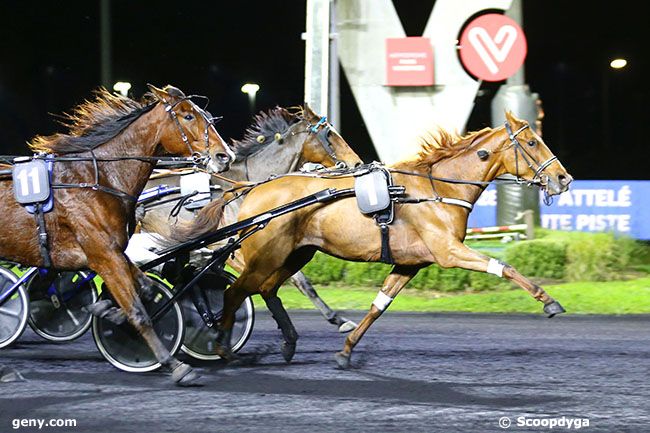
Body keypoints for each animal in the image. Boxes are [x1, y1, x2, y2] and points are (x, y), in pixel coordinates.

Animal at [0, 83, 232, 382]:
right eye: (188, 116)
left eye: (206, 115)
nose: (224, 156)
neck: (99, 179)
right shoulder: (104, 255)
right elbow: (138, 310)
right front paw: (175, 365)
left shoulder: (114, 253)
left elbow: (145, 288)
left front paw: (107, 309)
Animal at [184, 110, 572, 364]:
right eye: (532, 141)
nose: (564, 178)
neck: (437, 189)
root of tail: (251, 189)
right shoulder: (448, 251)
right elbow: (503, 266)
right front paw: (549, 301)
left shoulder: (410, 263)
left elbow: (378, 306)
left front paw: (346, 351)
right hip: (265, 254)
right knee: (235, 291)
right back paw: (220, 343)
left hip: (297, 253)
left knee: (267, 288)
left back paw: (289, 342)